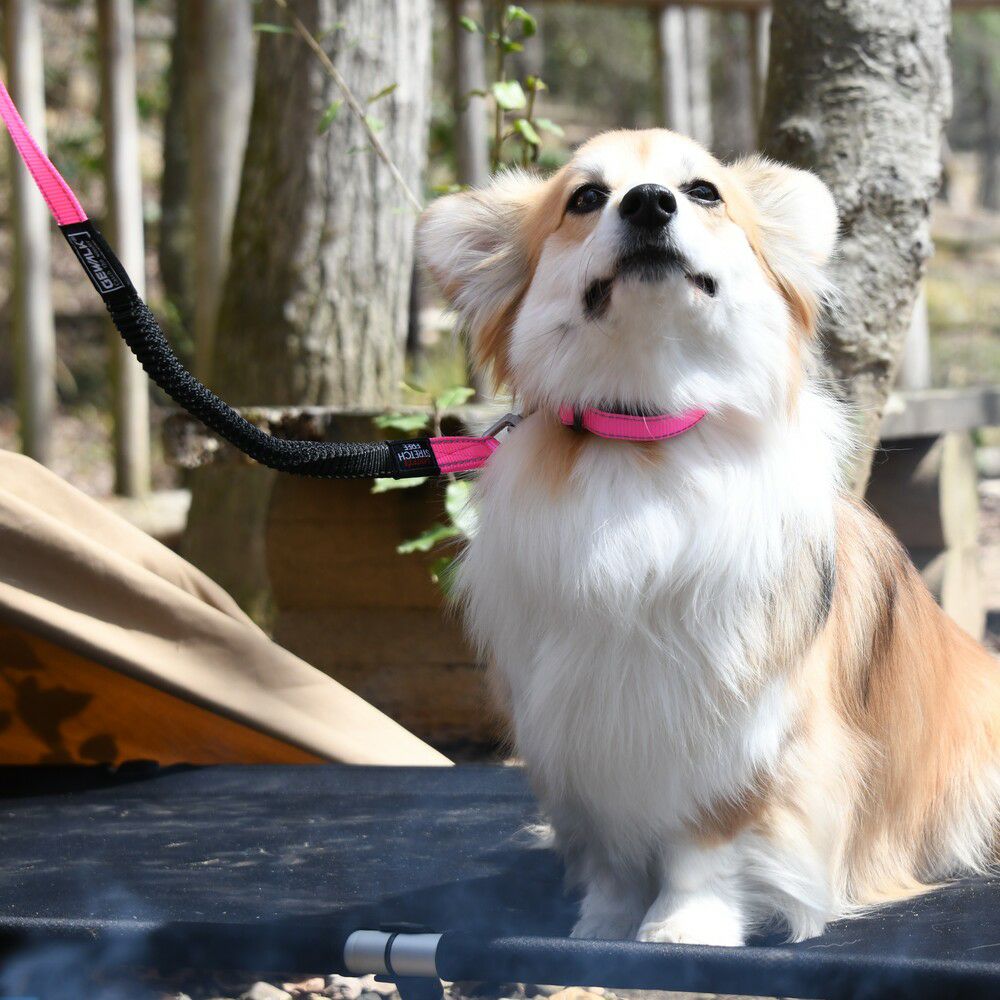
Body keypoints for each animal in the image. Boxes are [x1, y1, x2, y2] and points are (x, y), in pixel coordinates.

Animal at [417, 129, 1000, 946]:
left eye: (702, 192)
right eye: (585, 198)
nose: (649, 202)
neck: (646, 430)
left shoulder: (744, 733)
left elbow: (708, 843)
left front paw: (681, 925)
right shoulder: (585, 728)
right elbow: (611, 854)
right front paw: (603, 923)